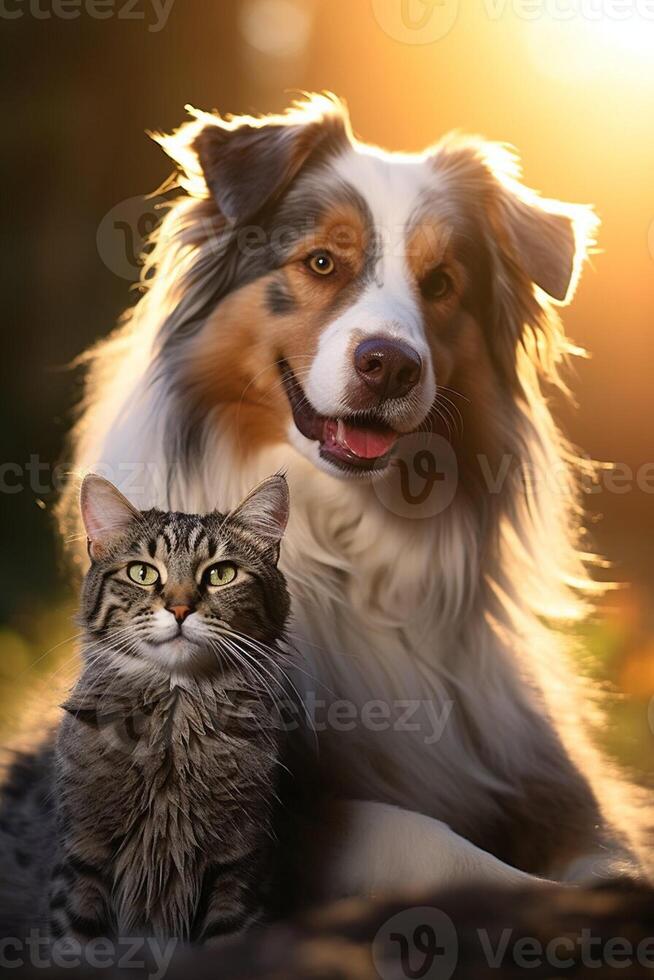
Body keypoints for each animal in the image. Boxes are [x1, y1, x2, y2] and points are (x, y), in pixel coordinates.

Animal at [0, 470, 292, 944]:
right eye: (142, 573)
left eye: (221, 574)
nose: (180, 608)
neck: (173, 722)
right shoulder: (83, 857)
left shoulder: (237, 867)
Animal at [59, 95, 652, 900]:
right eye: (320, 261)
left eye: (442, 283)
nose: (391, 365)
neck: (349, 533)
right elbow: (430, 842)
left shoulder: (538, 765)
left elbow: (610, 851)